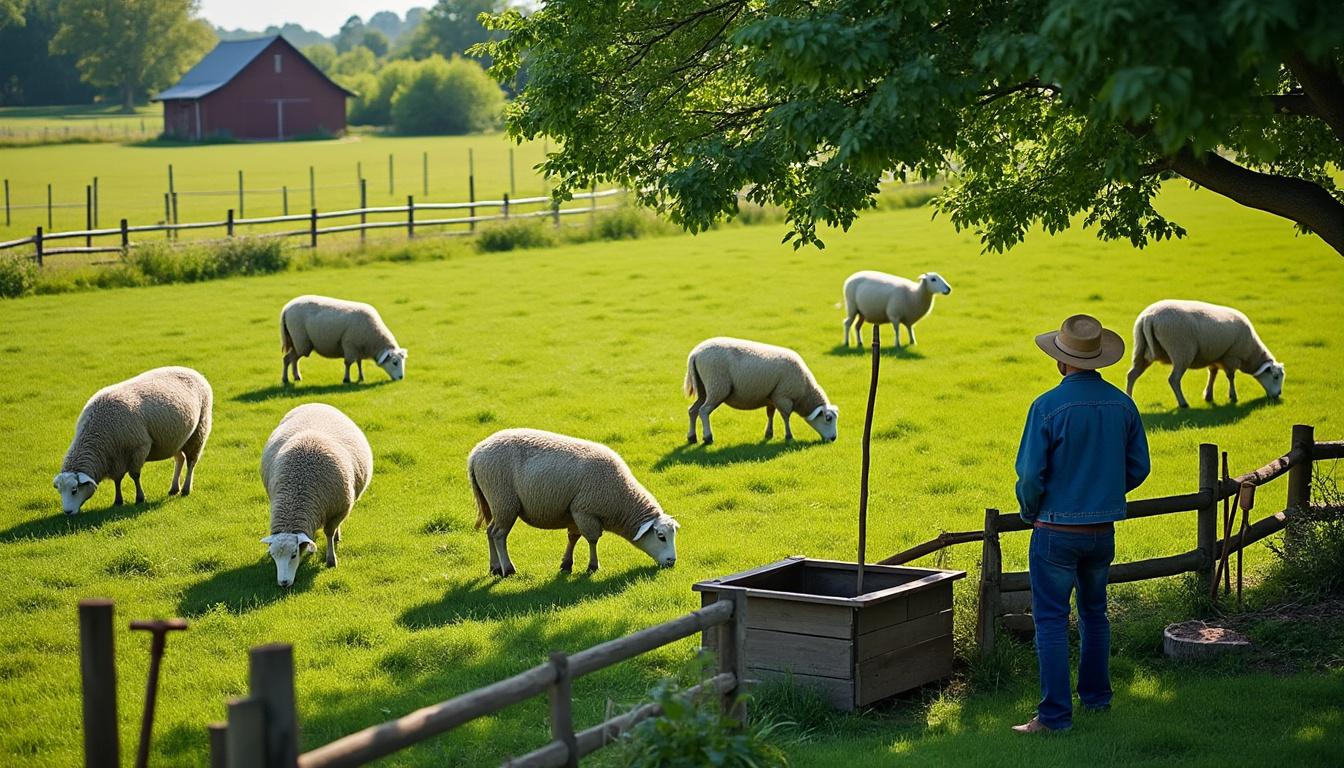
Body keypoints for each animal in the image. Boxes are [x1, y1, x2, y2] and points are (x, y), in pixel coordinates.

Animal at [53, 366, 212, 515]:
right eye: (59, 491)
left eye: (74, 490)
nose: (67, 512)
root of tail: (192, 371)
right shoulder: (115, 457)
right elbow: (117, 480)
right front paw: (118, 501)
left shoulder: (140, 447)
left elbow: (135, 475)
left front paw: (140, 498)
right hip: (175, 439)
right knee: (180, 459)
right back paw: (174, 488)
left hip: (199, 430)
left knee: (191, 462)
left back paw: (185, 489)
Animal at [260, 403, 373, 587]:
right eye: (273, 555)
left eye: (293, 555)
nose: (283, 583)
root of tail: (315, 403)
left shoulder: (339, 509)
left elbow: (329, 533)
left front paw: (331, 560)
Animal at [467, 428, 679, 577]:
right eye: (661, 536)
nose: (672, 561)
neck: (621, 498)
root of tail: (476, 453)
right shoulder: (585, 511)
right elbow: (593, 539)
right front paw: (593, 566)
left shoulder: (573, 511)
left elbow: (573, 537)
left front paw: (566, 564)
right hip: (503, 499)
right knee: (498, 534)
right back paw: (508, 569)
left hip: (493, 501)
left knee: (490, 531)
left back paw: (495, 567)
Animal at [684, 337, 838, 445]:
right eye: (828, 418)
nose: (834, 438)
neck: (805, 392)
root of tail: (695, 354)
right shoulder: (784, 397)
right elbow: (786, 417)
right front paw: (789, 436)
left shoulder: (772, 397)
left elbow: (770, 414)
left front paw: (769, 434)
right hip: (717, 386)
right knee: (703, 411)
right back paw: (708, 438)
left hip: (704, 389)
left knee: (692, 410)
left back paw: (692, 437)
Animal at [1125, 299, 1285, 409]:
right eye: (1275, 376)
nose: (1278, 395)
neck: (1252, 354)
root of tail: (1149, 317)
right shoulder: (1231, 356)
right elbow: (1231, 376)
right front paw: (1233, 397)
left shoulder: (1215, 357)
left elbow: (1212, 375)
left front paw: (1208, 396)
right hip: (1181, 351)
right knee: (1174, 379)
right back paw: (1183, 403)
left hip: (1140, 349)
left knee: (1132, 374)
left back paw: (1129, 398)